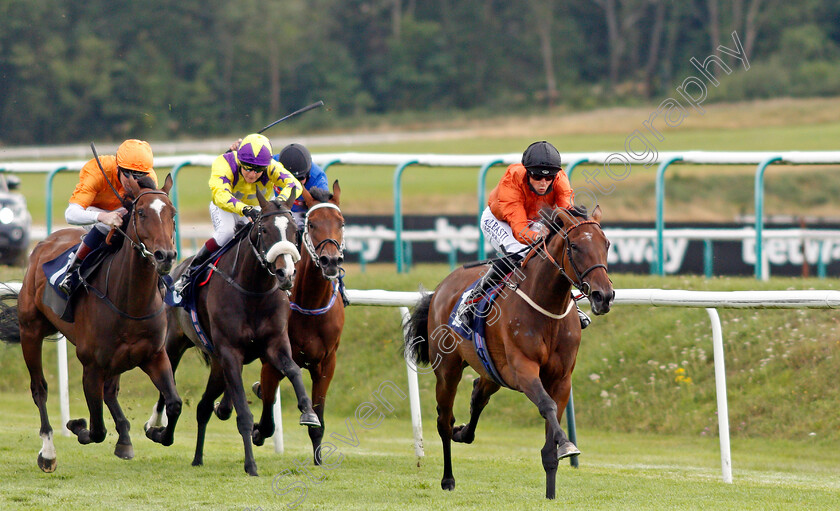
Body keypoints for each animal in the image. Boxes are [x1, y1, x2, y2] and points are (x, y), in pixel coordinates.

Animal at [0, 175, 180, 472]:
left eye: (172, 214)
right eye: (142, 213)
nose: (165, 256)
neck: (129, 300)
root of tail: (45, 242)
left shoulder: (154, 355)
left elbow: (174, 402)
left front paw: (156, 432)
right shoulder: (91, 366)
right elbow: (96, 429)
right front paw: (76, 424)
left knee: (111, 391)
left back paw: (125, 438)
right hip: (31, 331)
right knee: (40, 389)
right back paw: (48, 451)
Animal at [149, 192, 320, 476]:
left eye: (295, 232)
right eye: (264, 229)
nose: (286, 273)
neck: (253, 290)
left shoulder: (274, 344)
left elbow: (294, 370)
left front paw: (308, 412)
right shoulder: (230, 352)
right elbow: (243, 414)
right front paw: (250, 465)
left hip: (217, 365)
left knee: (203, 407)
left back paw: (197, 456)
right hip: (174, 344)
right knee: (167, 384)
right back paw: (157, 429)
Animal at [248, 181, 346, 464]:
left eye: (341, 223)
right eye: (311, 224)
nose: (330, 260)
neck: (310, 305)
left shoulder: (326, 363)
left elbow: (318, 419)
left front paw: (319, 459)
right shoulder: (272, 358)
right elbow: (267, 420)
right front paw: (257, 430)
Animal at [404, 205, 612, 500]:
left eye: (606, 244)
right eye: (575, 246)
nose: (603, 296)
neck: (547, 309)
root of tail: (442, 287)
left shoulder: (561, 379)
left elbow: (549, 442)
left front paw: (551, 492)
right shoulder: (524, 369)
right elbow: (546, 405)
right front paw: (567, 444)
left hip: (492, 370)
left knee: (479, 395)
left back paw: (462, 432)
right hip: (447, 370)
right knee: (444, 421)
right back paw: (448, 478)